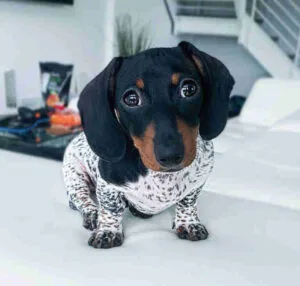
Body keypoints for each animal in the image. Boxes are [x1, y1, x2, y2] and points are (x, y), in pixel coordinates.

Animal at [62, 41, 234, 249]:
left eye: (189, 89)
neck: (162, 179)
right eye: (131, 99)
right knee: (82, 200)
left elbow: (188, 201)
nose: (171, 156)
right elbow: (111, 208)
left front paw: (188, 223)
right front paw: (108, 231)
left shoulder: (199, 180)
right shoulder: (107, 183)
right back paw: (92, 214)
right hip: (75, 176)